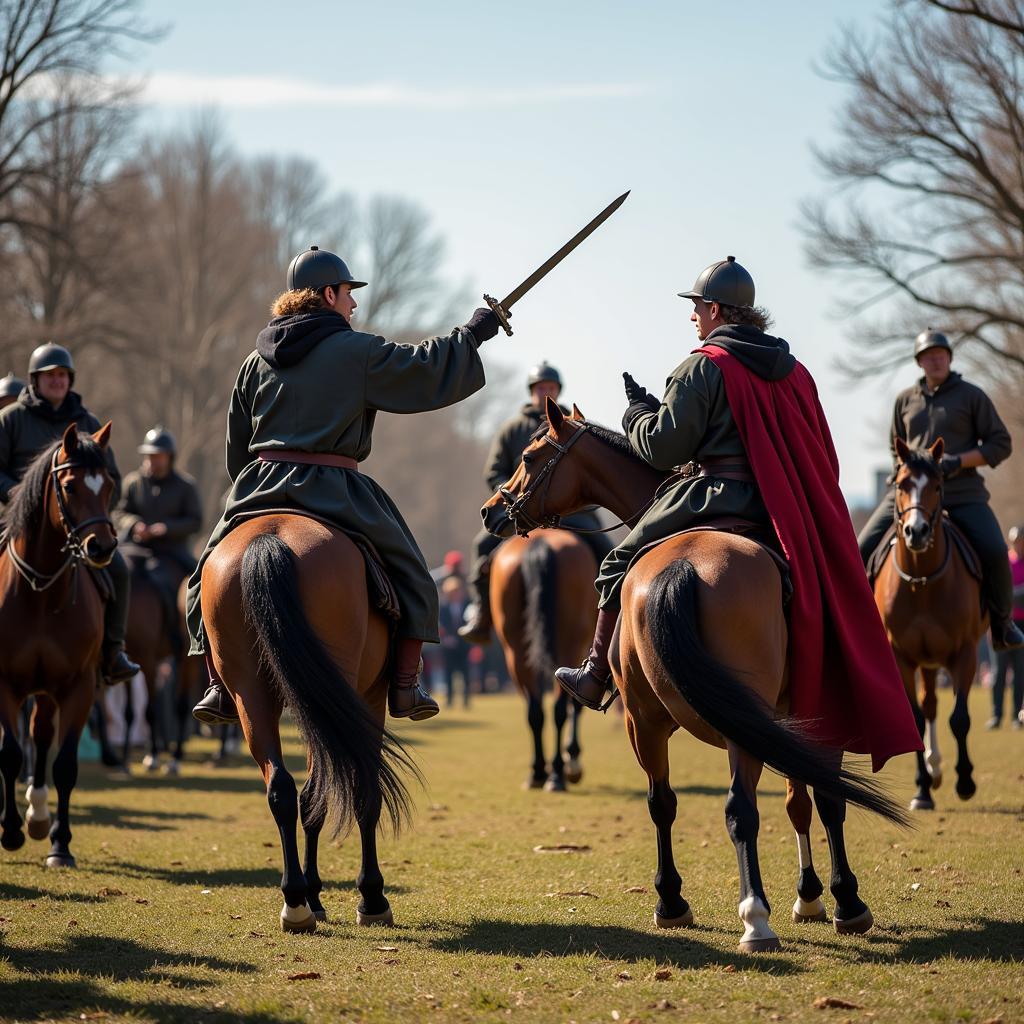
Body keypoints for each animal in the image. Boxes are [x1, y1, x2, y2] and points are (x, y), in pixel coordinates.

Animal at [0, 423, 117, 864]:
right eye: (69, 486)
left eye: (109, 486)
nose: (102, 547)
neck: (40, 592)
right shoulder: (4, 685)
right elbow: (10, 754)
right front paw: (10, 831)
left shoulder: (77, 686)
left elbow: (64, 764)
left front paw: (59, 843)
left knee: (40, 735)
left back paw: (38, 815)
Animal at [200, 516, 415, 933]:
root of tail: (269, 537)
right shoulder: (368, 697)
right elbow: (363, 791)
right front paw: (371, 898)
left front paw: (314, 897)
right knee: (321, 789)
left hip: (251, 693)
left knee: (282, 790)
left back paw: (296, 901)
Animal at [489, 528, 598, 790]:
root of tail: (540, 544)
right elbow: (576, 703)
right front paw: (572, 758)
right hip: (570, 645)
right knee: (560, 708)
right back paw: (557, 772)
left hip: (515, 651)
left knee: (535, 710)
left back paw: (539, 772)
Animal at [872, 436, 983, 811]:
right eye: (901, 484)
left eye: (937, 484)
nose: (916, 531)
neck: (921, 582)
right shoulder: (901, 656)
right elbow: (918, 718)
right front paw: (921, 789)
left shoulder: (966, 653)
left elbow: (960, 719)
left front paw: (965, 781)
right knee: (929, 704)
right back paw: (932, 772)